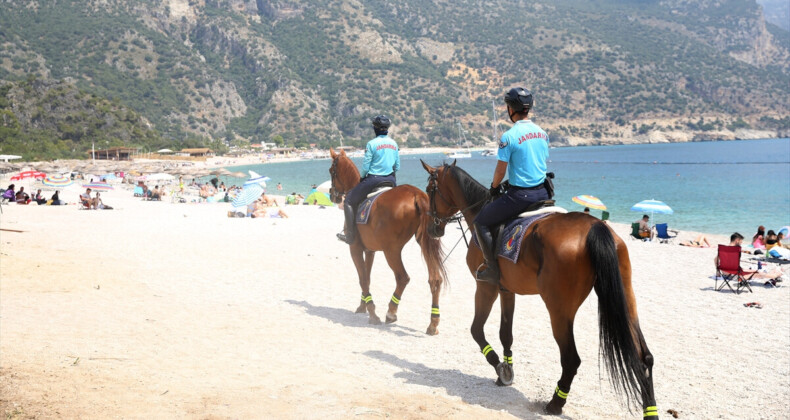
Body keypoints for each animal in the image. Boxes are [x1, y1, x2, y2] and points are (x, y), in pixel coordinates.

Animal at [328, 148, 448, 334]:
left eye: (331, 171)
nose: (331, 194)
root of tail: (416, 194)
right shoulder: (370, 250)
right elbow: (367, 278)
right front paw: (363, 306)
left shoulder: (355, 248)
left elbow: (363, 278)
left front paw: (372, 313)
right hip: (424, 243)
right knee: (435, 279)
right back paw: (433, 323)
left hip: (391, 251)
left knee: (402, 277)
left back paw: (391, 312)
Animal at [424, 161, 660, 416]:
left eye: (429, 190)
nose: (432, 228)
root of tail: (594, 226)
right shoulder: (506, 290)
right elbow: (506, 333)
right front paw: (507, 370)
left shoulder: (486, 287)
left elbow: (476, 330)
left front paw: (499, 367)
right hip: (626, 301)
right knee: (644, 357)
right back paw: (650, 409)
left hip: (559, 311)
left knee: (571, 359)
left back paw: (555, 403)